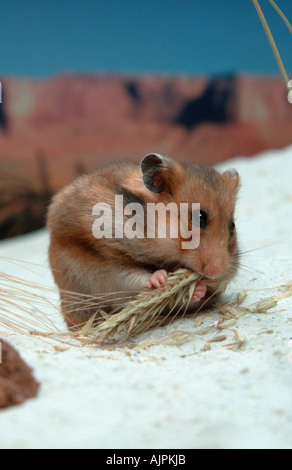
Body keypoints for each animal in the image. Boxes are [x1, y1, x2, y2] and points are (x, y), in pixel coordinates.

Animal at [47, 154, 240, 330]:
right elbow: (133, 275)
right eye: (200, 217)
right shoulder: (103, 260)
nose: (216, 272)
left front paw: (198, 287)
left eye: (232, 226)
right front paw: (160, 279)